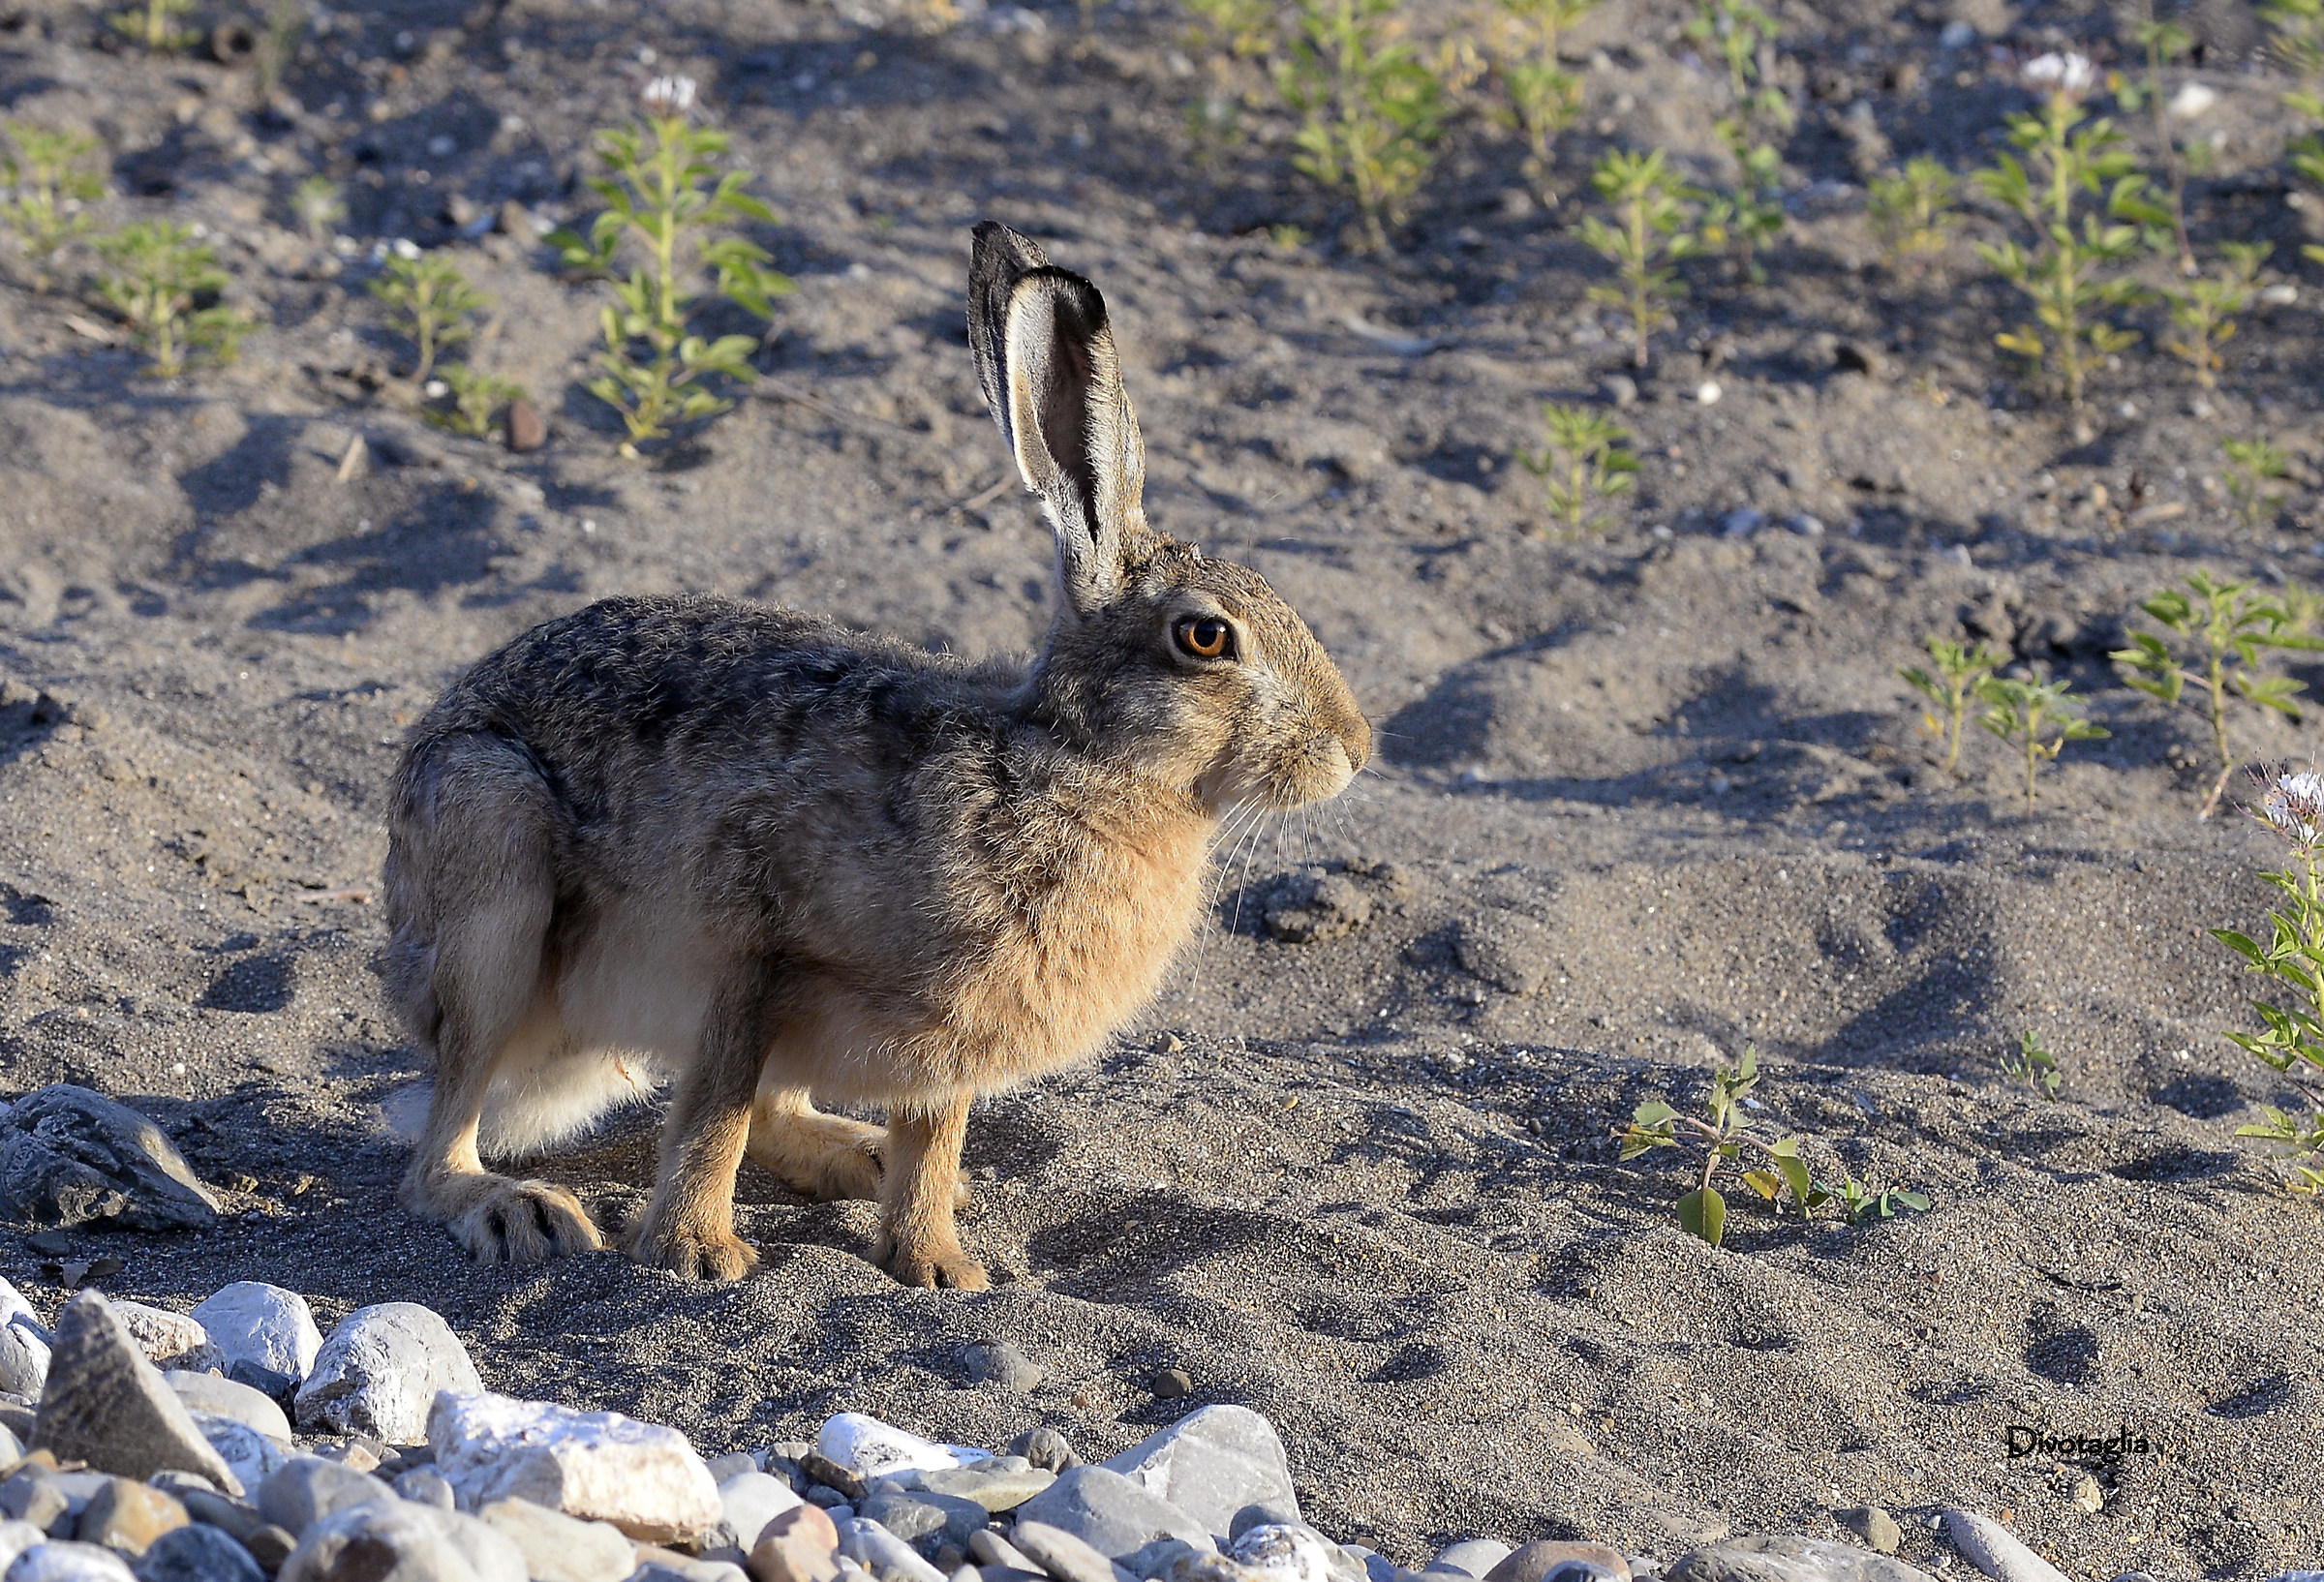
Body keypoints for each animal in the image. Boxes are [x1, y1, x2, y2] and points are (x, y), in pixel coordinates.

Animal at [379, 221, 1371, 1287]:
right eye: (1205, 637)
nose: (1353, 750)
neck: (1073, 761)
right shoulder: (752, 948)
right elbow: (716, 1110)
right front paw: (698, 1251)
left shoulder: (955, 1032)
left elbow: (931, 1136)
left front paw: (939, 1266)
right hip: (492, 862)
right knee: (442, 1137)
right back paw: (512, 1205)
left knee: (779, 1112)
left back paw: (859, 1155)